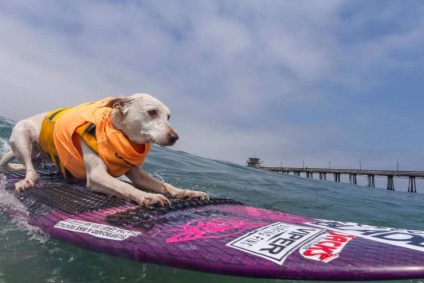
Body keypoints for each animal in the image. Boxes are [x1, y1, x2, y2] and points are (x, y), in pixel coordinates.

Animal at [0, 93, 209, 206]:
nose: (174, 137)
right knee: (30, 169)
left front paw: (187, 192)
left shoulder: (138, 175)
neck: (120, 134)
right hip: (21, 134)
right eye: (152, 112)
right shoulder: (96, 175)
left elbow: (166, 186)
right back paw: (28, 180)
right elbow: (125, 186)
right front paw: (147, 196)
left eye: (168, 117)